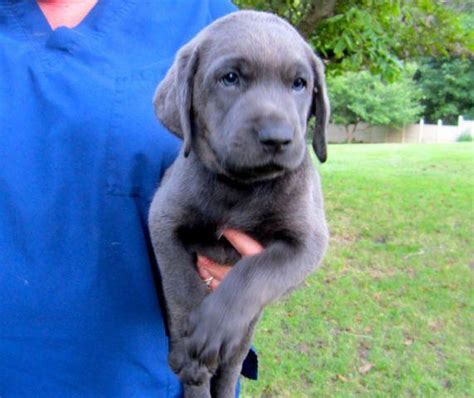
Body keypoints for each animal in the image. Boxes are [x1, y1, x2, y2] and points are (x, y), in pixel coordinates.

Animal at [149, 10, 330, 398]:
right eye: (229, 78)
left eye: (299, 84)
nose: (277, 137)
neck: (241, 187)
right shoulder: (162, 219)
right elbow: (182, 285)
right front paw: (189, 348)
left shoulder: (308, 242)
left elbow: (254, 271)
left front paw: (213, 327)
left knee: (231, 366)